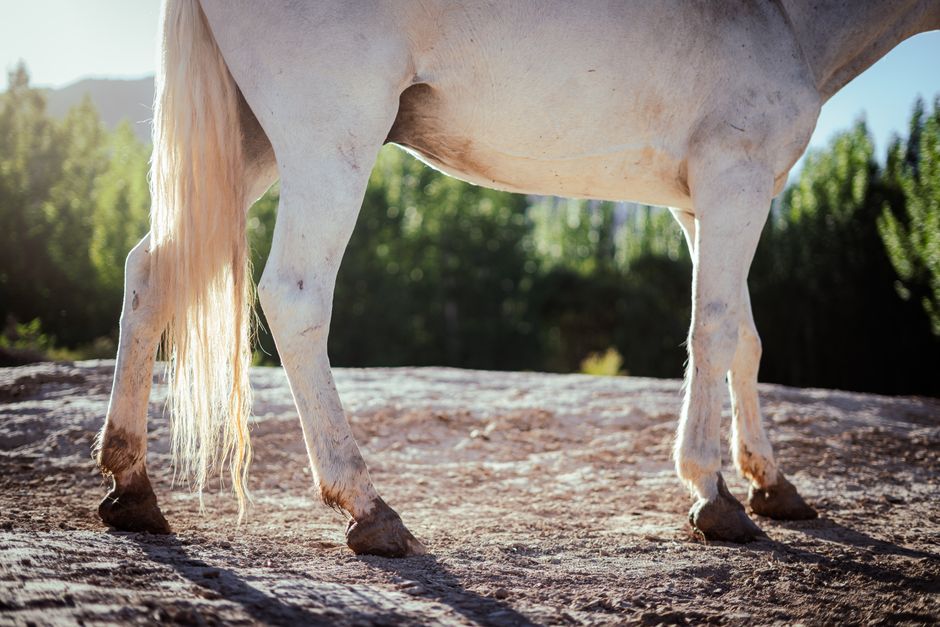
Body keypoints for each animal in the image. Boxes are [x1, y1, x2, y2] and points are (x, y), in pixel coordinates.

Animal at [94, 0, 940, 556]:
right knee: (295, 295)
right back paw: (365, 505)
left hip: (247, 145)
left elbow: (745, 338)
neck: (786, 16)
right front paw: (715, 493)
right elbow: (715, 328)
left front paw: (772, 481)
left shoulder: (708, 201)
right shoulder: (732, 179)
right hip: (326, 137)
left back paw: (133, 487)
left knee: (152, 270)